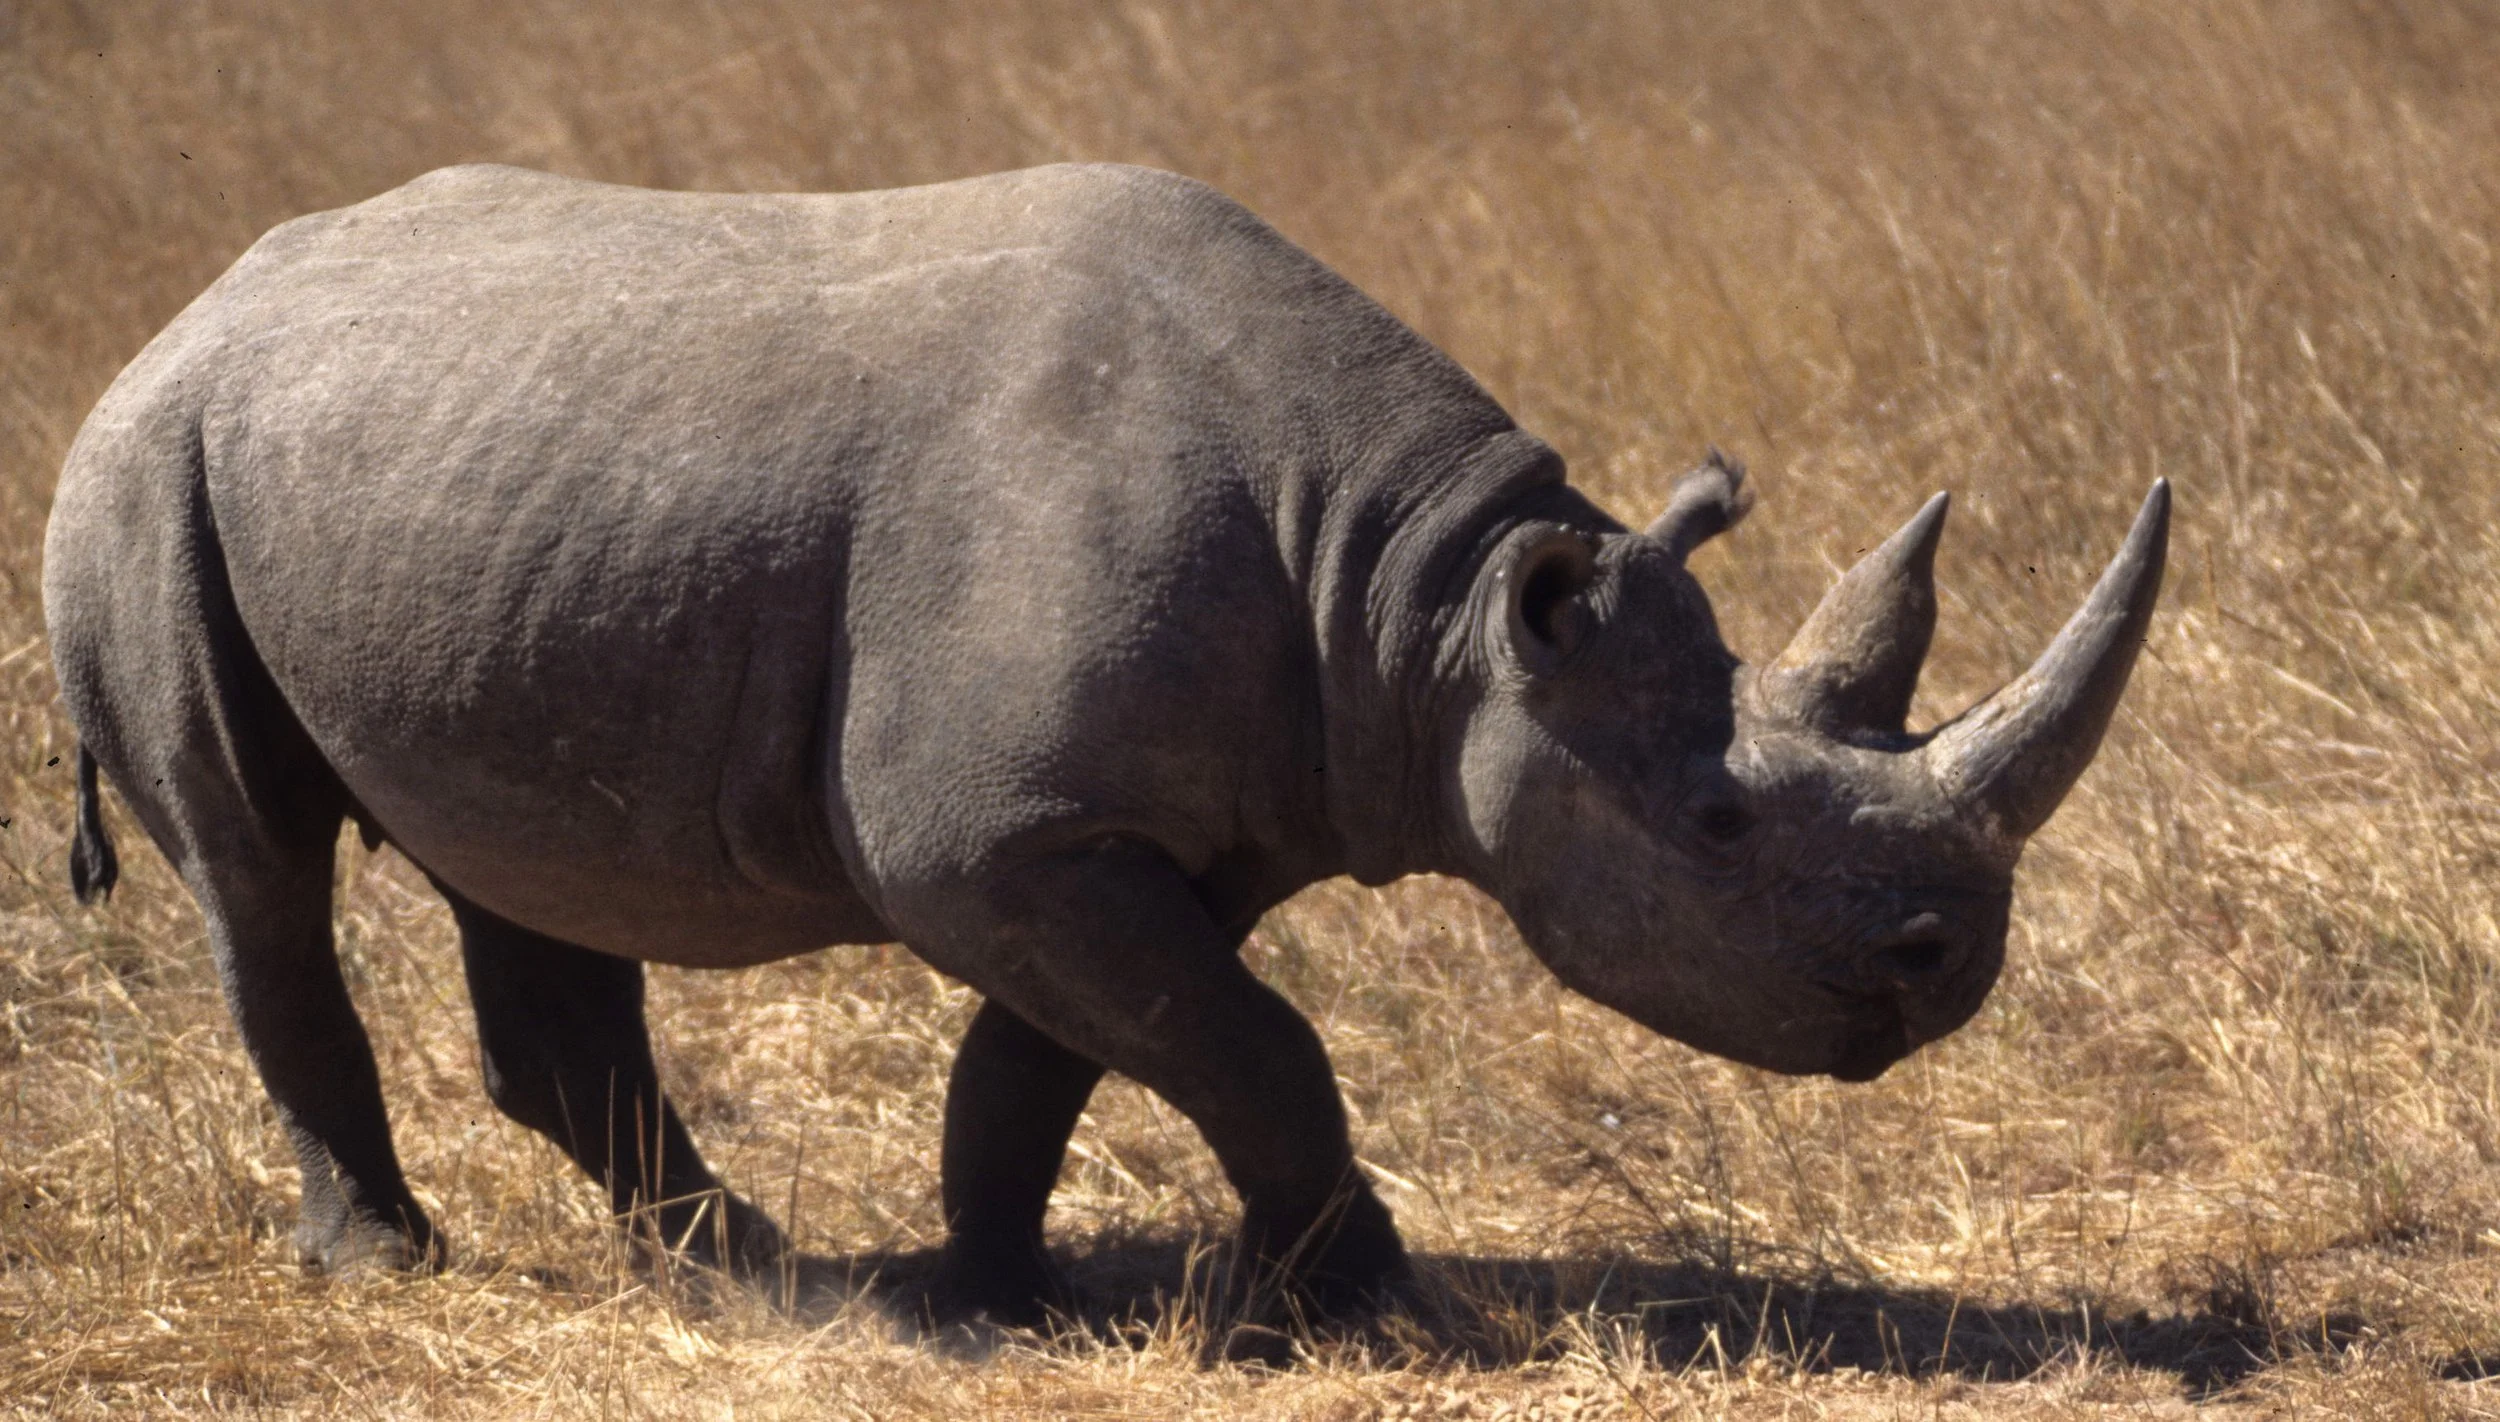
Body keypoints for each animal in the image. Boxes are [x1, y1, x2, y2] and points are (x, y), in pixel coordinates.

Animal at [44, 162, 2166, 1325]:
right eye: (1723, 824)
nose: (1951, 964)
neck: (1426, 604)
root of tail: (190, 305)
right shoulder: (994, 831)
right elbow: (1254, 1043)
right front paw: (1379, 1302)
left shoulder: (1128, 824)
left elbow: (1068, 1056)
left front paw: (996, 1287)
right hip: (146, 466)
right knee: (255, 866)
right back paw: (395, 1266)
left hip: (456, 489)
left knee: (529, 864)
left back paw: (758, 1271)